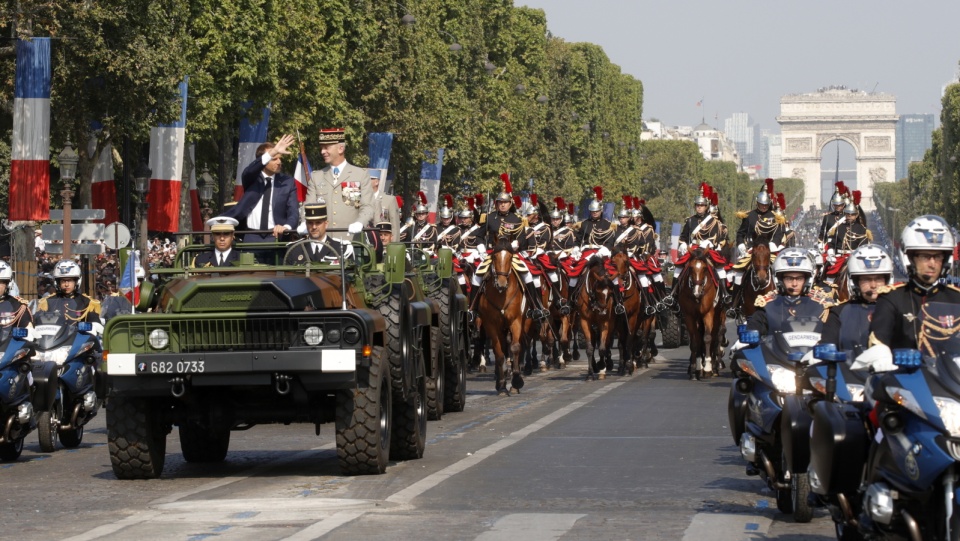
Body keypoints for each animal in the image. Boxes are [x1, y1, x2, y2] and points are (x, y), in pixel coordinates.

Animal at [472, 238, 524, 394]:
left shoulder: (516, 320)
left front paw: (516, 381)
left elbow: (515, 348)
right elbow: (499, 353)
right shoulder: (490, 325)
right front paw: (501, 384)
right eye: (494, 257)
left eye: (511, 257)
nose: (501, 283)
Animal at [680, 249, 724, 380]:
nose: (697, 292)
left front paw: (708, 368)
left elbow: (707, 338)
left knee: (714, 338)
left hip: (717, 317)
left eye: (704, 268)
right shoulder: (689, 316)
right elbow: (695, 341)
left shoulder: (708, 314)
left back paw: (713, 367)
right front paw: (695, 369)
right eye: (690, 268)